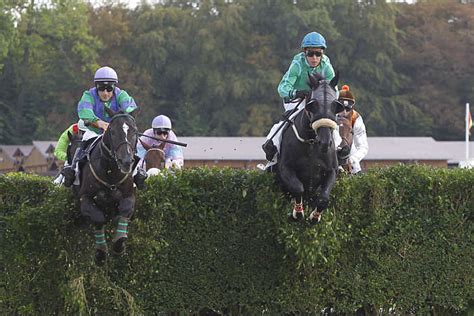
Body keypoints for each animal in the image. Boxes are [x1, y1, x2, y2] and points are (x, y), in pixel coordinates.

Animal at [77, 112, 138, 266]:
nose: (126, 161)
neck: (110, 172)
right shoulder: (84, 198)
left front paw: (119, 244)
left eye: (134, 131)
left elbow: (125, 210)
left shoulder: (129, 195)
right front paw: (100, 254)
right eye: (113, 131)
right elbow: (98, 218)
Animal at [276, 71, 342, 225]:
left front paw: (314, 216)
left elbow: (324, 198)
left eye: (335, 106)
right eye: (313, 105)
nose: (325, 142)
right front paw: (298, 212)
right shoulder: (285, 168)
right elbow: (298, 188)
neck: (311, 142)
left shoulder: (331, 170)